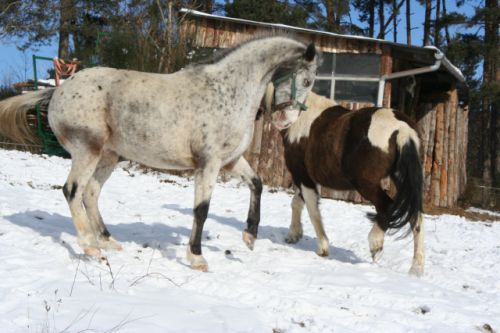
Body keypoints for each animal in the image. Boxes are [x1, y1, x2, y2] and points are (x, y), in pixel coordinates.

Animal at [280, 91, 424, 274]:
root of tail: (402, 129)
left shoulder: (302, 176)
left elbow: (312, 210)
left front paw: (322, 247)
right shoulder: (306, 178)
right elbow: (297, 203)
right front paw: (294, 234)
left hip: (366, 184)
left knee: (387, 205)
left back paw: (375, 244)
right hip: (402, 180)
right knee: (416, 216)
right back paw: (416, 268)